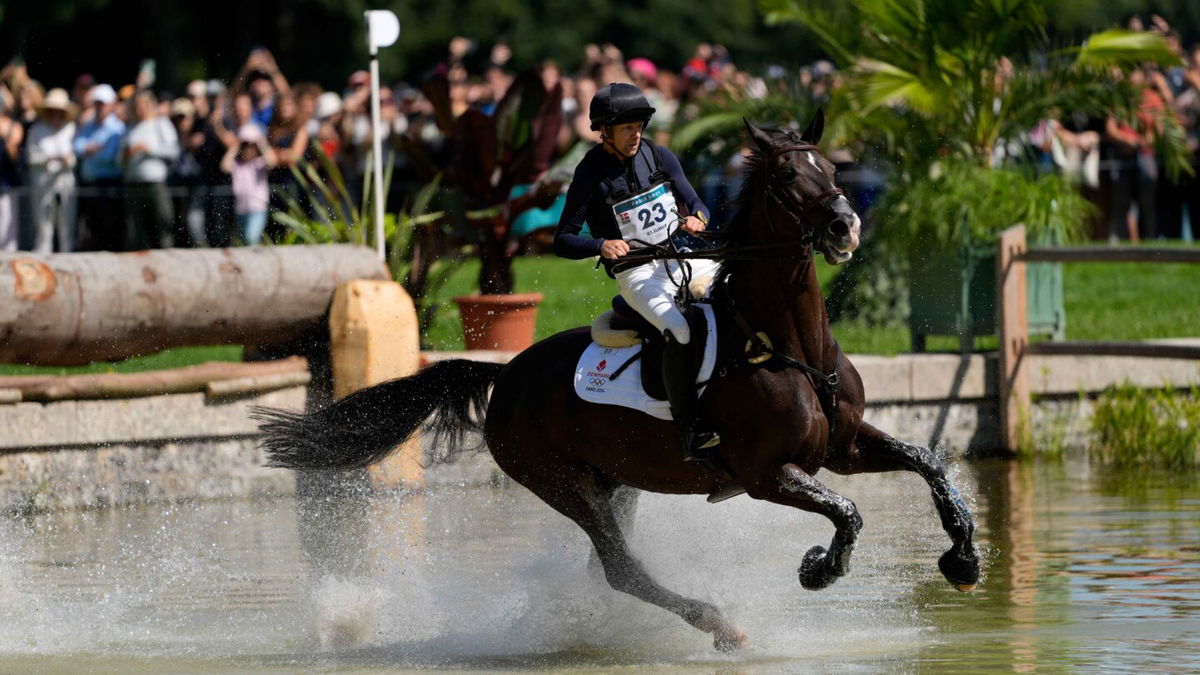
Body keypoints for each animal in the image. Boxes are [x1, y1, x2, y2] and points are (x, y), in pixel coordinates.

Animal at [258, 114, 979, 653]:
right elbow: (847, 511)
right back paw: (719, 624)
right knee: (620, 565)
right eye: (784, 177)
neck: (788, 343)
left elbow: (927, 462)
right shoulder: (765, 475)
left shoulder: (843, 446)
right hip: (561, 482)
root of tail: (506, 372)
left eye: (830, 168)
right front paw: (820, 569)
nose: (843, 226)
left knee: (610, 565)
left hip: (616, 479)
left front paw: (964, 561)